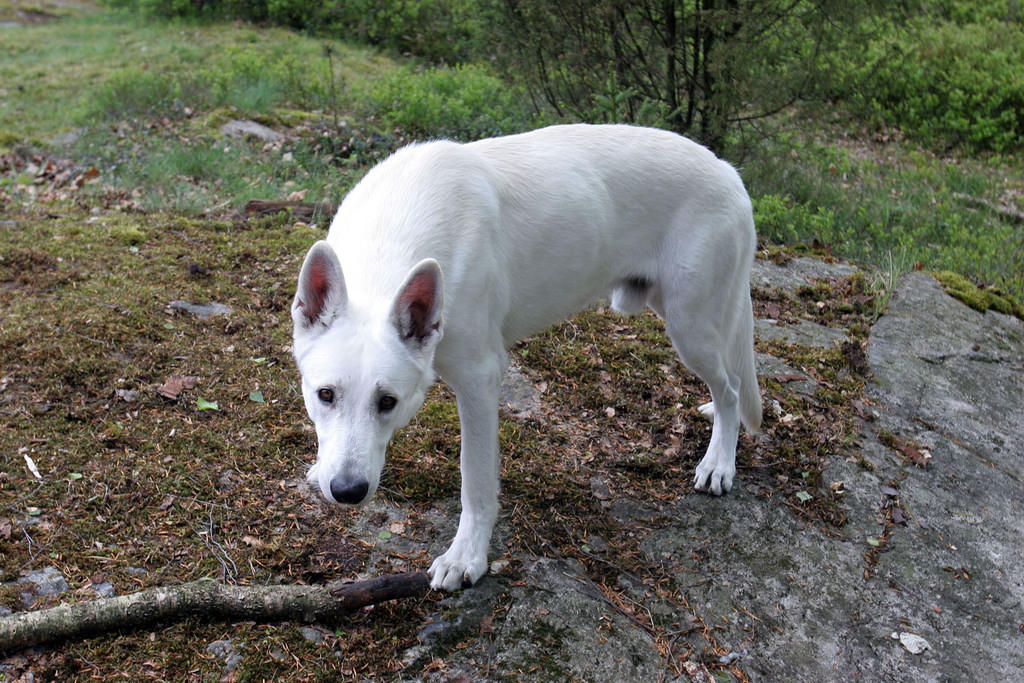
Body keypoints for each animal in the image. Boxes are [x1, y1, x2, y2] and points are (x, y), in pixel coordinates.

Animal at [292, 124, 757, 593]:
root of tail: (727, 171)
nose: (347, 491)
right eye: (325, 395)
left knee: (733, 388)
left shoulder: (479, 381)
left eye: (388, 402)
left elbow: (475, 480)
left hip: (689, 325)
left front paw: (467, 556)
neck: (391, 235)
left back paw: (719, 461)